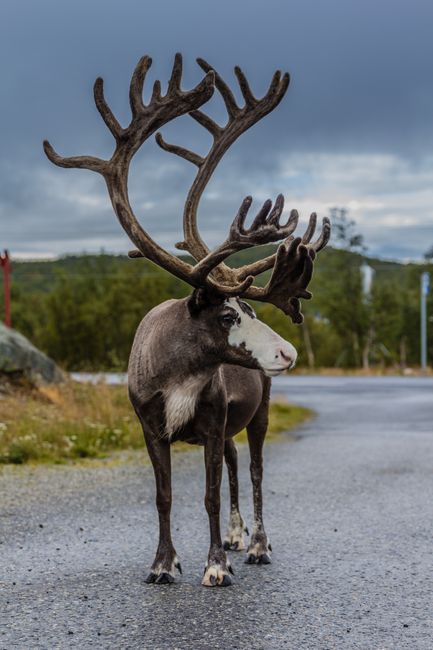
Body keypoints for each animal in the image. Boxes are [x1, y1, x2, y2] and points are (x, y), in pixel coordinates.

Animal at [44, 53, 330, 587]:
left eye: (253, 309)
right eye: (227, 314)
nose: (288, 351)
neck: (179, 373)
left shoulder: (213, 421)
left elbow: (210, 495)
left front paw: (215, 565)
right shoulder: (150, 426)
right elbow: (165, 496)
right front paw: (163, 563)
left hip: (260, 410)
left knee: (254, 469)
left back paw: (255, 544)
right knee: (237, 463)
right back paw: (238, 536)